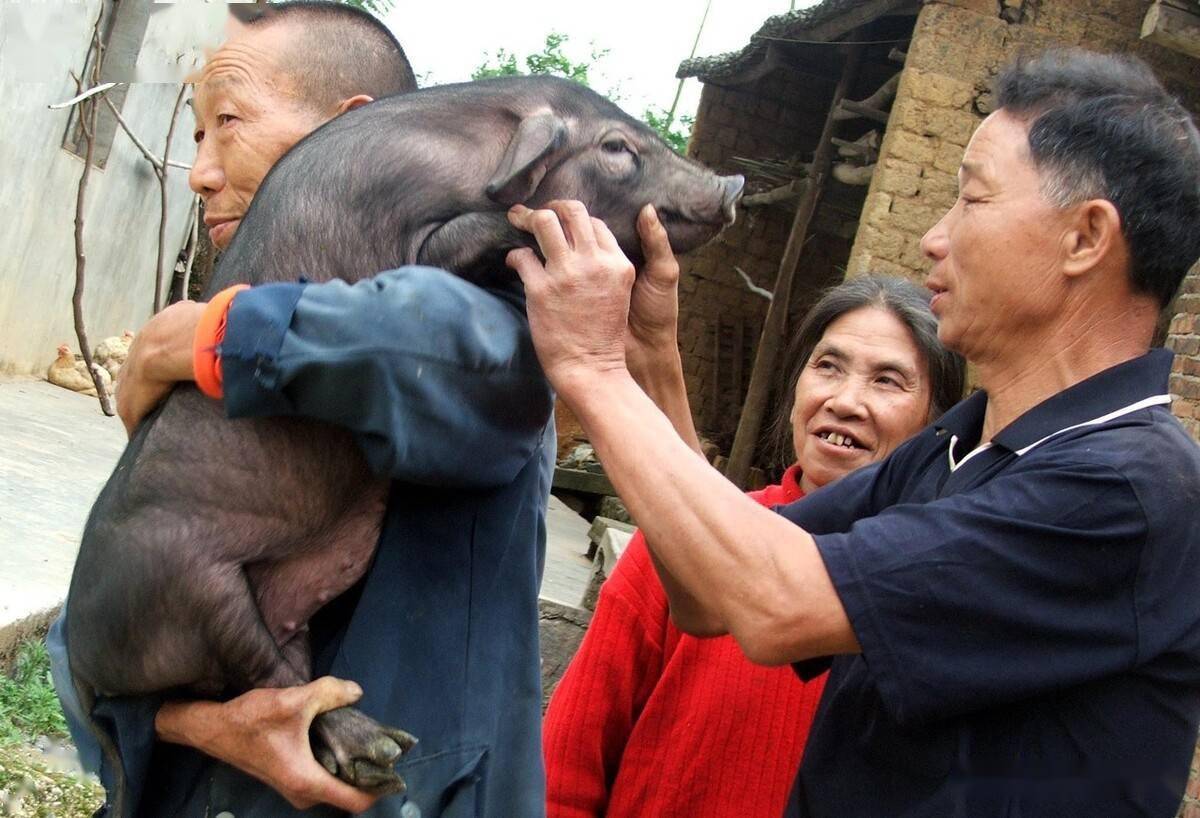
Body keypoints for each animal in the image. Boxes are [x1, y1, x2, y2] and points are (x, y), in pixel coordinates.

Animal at [68, 76, 739, 801]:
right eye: (617, 147)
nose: (731, 183)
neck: (469, 154)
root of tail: (81, 658)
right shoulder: (414, 248)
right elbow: (490, 230)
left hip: (271, 609)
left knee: (273, 679)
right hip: (185, 586)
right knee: (266, 678)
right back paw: (383, 754)